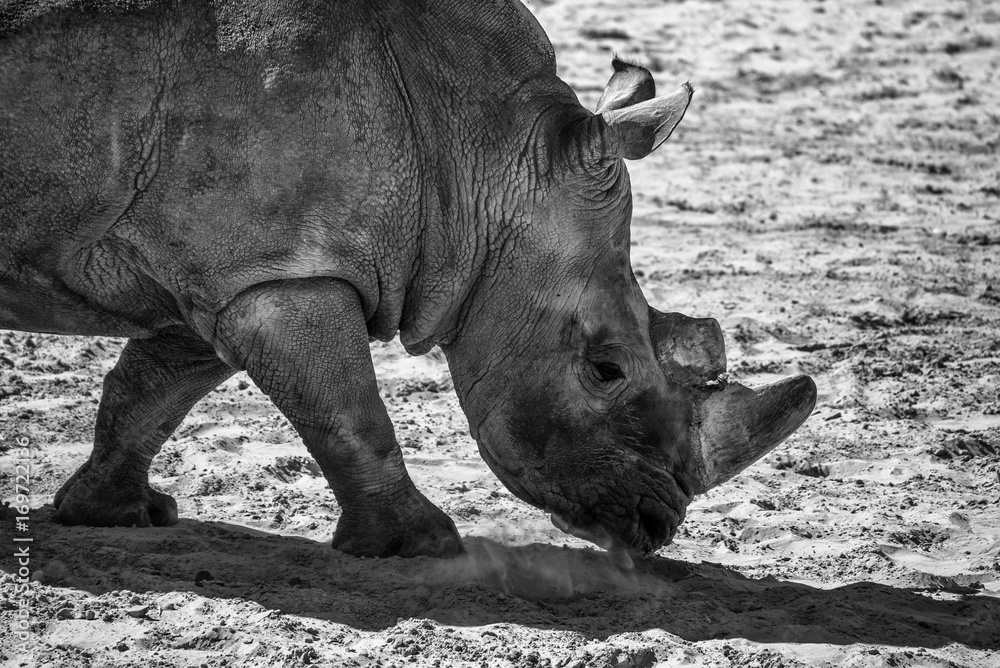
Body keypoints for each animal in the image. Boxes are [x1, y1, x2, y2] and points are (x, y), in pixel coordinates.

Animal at [0, 0, 816, 558]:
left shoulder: (239, 271)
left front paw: (116, 515)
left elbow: (153, 387)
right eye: (605, 368)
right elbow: (351, 413)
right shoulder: (282, 277)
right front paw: (424, 545)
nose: (655, 527)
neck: (478, 156)